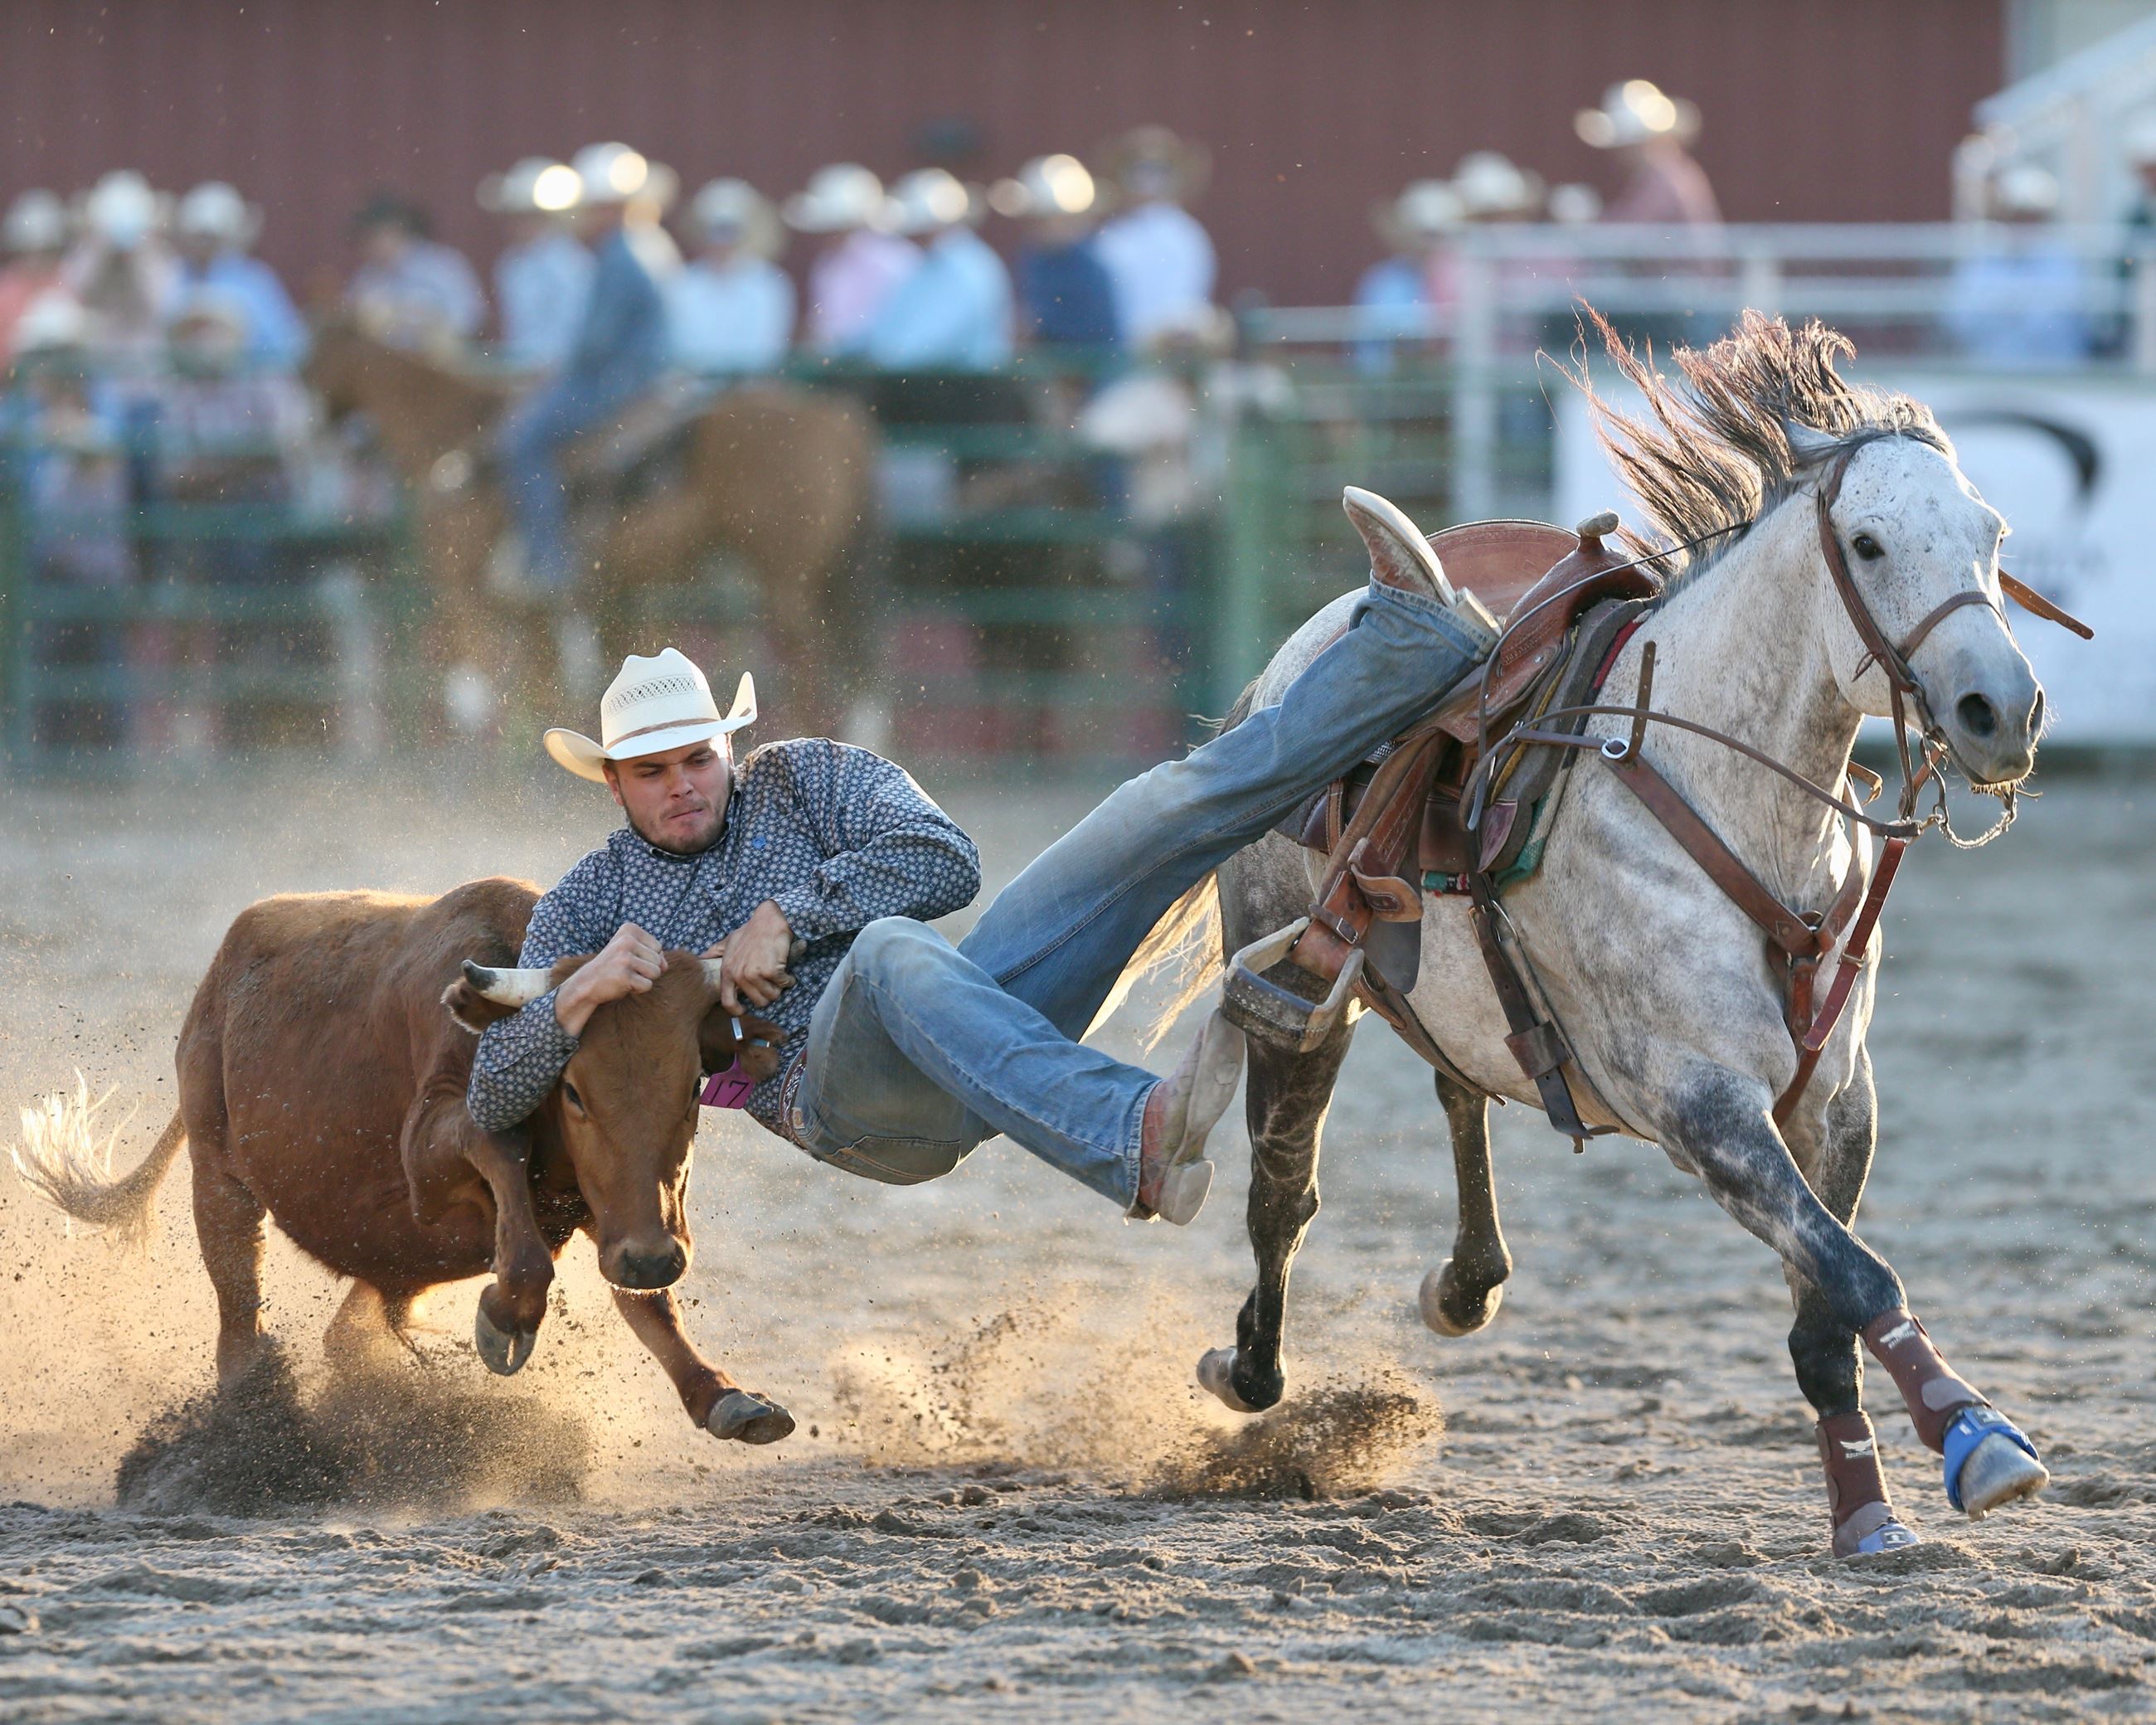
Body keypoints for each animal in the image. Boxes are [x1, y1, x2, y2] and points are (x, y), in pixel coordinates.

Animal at [12, 876, 798, 1445]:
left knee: (347, 1336)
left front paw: (724, 1395)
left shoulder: (620, 1208)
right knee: (239, 1324)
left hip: (391, 1253)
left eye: (691, 1088)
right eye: (573, 1089)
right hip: (219, 1175)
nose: (651, 1256)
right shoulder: (426, 1152)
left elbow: (649, 1301)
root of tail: (221, 973)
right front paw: (508, 1312)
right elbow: (497, 1153)